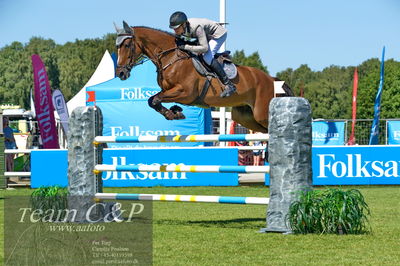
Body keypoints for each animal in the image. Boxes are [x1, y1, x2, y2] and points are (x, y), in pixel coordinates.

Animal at [114, 21, 292, 132]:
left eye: (127, 45)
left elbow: (154, 99)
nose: (120, 73)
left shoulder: (185, 93)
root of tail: (272, 79)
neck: (171, 58)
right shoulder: (171, 92)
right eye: (117, 47)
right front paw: (175, 112)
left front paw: (173, 113)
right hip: (246, 117)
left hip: (261, 114)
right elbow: (153, 100)